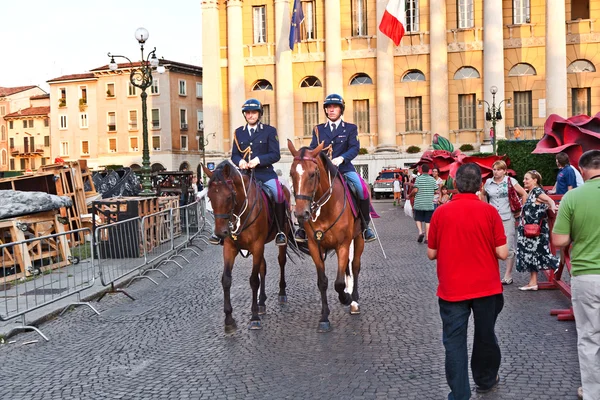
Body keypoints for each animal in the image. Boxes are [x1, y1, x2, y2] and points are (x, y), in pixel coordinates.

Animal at [203, 159, 294, 332]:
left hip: (279, 238)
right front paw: (229, 319)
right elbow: (226, 279)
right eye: (210, 197)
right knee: (263, 268)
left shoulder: (257, 246)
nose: (220, 233)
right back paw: (262, 301)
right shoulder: (230, 248)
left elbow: (253, 280)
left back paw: (281, 293)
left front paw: (254, 317)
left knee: (281, 262)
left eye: (229, 197)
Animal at [288, 139, 366, 332]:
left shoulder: (342, 245)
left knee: (355, 266)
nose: (300, 213)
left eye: (312, 174)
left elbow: (338, 283)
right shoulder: (315, 247)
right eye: (291, 174)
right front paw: (324, 317)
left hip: (359, 239)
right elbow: (322, 281)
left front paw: (346, 298)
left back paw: (353, 301)